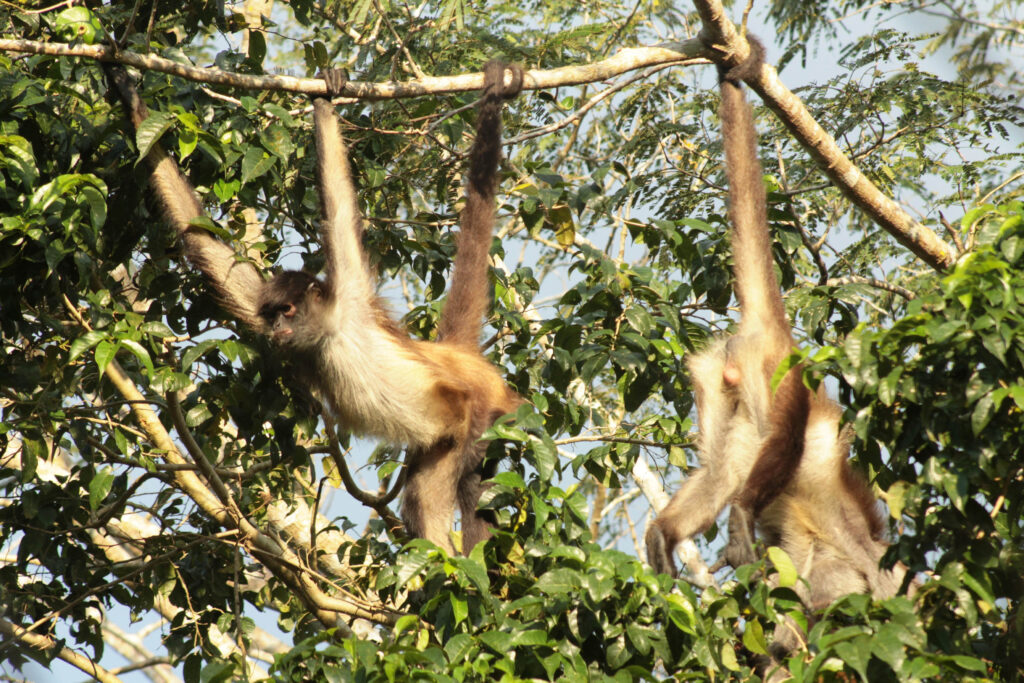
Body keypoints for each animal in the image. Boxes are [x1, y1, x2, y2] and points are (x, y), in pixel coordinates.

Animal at [104, 61, 524, 557]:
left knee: (461, 481)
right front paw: (127, 93)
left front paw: (325, 99)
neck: (329, 335)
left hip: (478, 415)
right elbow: (206, 245)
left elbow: (339, 209)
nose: (277, 329)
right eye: (272, 314)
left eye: (289, 309)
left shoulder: (352, 296)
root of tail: (459, 358)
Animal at [643, 38, 909, 610]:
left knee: (720, 471)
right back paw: (743, 511)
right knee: (786, 435)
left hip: (721, 378)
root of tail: (777, 336)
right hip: (776, 373)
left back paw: (666, 531)